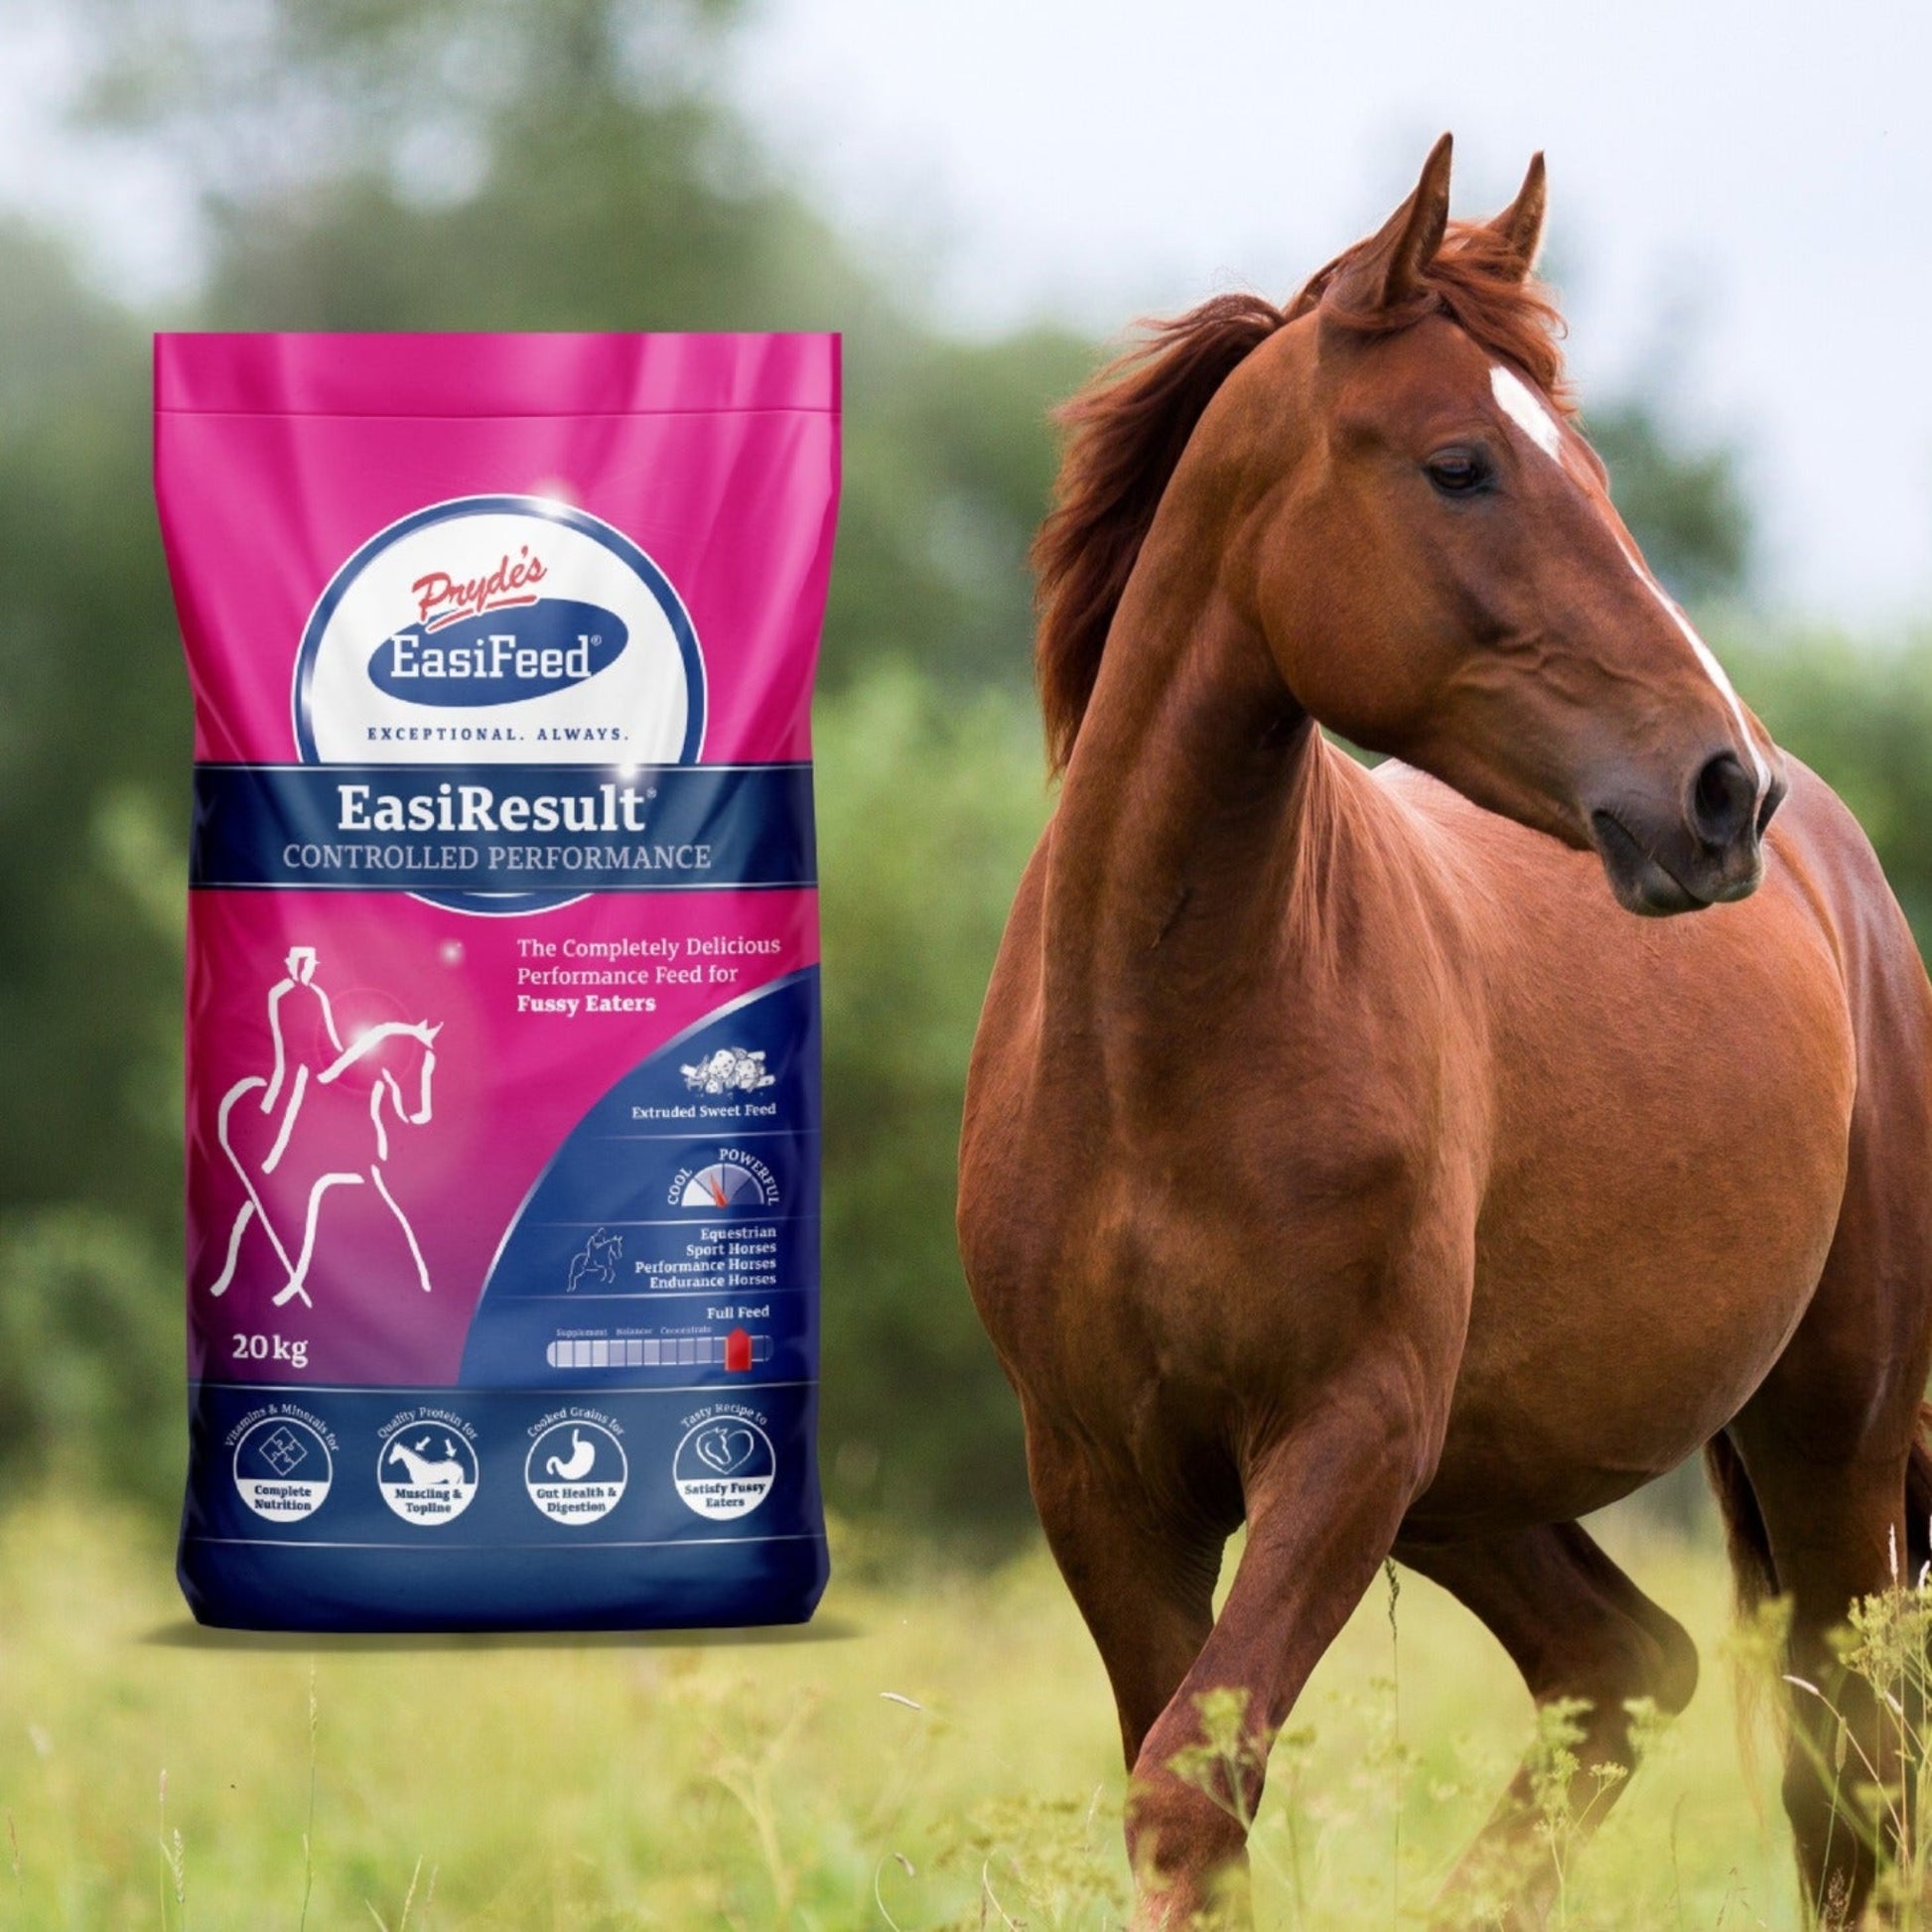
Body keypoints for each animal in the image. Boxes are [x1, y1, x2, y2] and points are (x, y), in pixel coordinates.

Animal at [958, 135, 1932, 1929]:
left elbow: (1193, 1783)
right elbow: (1185, 1795)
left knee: (1850, 1764)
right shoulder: (1108, 1482)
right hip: (1480, 1481)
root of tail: (1841, 876)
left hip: (1821, 1436)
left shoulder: (1344, 1441)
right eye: (1461, 465)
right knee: (1624, 1663)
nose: (1719, 790)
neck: (1156, 1048)